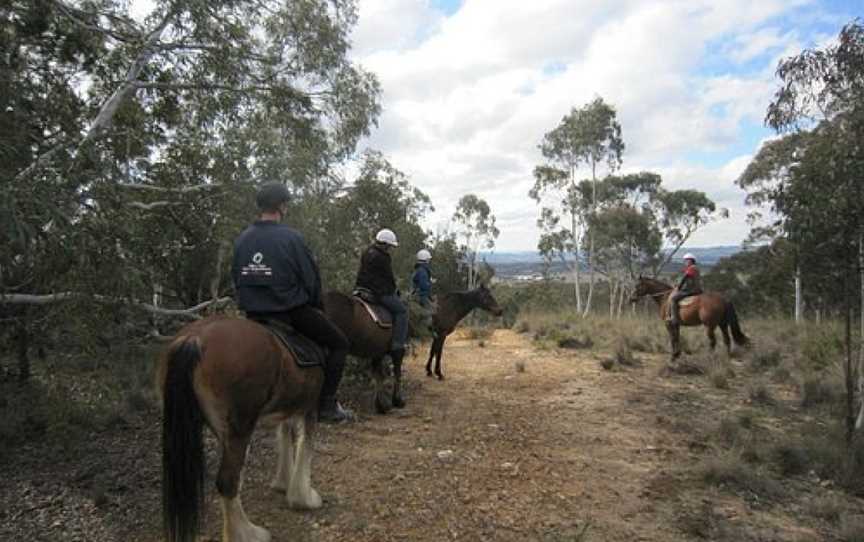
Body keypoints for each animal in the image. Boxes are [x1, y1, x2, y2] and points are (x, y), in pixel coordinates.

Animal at [158, 316, 324, 542]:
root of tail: (193, 339)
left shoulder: (288, 408)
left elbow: (286, 436)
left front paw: (284, 482)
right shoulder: (309, 407)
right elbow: (305, 446)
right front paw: (303, 498)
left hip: (221, 431)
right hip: (241, 427)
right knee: (228, 481)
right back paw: (247, 533)